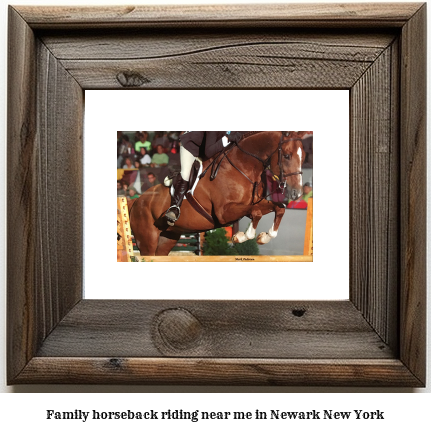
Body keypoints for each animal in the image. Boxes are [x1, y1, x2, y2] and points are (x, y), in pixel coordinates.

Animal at [130, 130, 306, 255]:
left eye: (303, 156)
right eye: (287, 155)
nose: (296, 193)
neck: (243, 166)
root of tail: (136, 201)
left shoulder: (249, 206)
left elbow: (279, 208)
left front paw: (264, 237)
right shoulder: (224, 212)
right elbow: (256, 213)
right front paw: (241, 236)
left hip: (167, 238)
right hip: (147, 241)